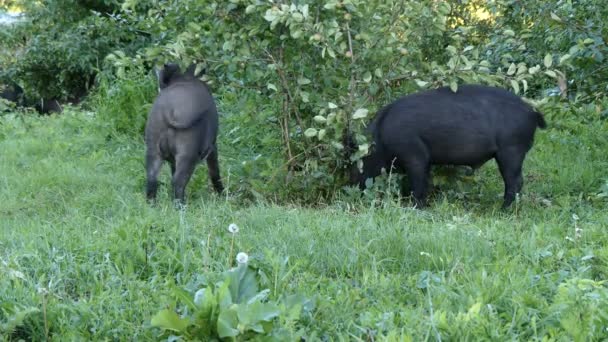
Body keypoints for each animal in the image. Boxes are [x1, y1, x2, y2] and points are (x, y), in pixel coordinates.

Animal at [145, 62, 223, 203]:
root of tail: (169, 110)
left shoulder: (172, 159)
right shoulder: (213, 146)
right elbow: (214, 171)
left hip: (153, 149)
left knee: (152, 178)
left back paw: (151, 204)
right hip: (188, 154)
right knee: (178, 182)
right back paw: (181, 205)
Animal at [350, 85, 548, 208]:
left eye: (358, 163)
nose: (353, 188)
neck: (381, 138)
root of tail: (532, 111)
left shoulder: (415, 155)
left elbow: (418, 184)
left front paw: (416, 208)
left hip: (511, 149)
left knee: (515, 181)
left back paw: (503, 211)